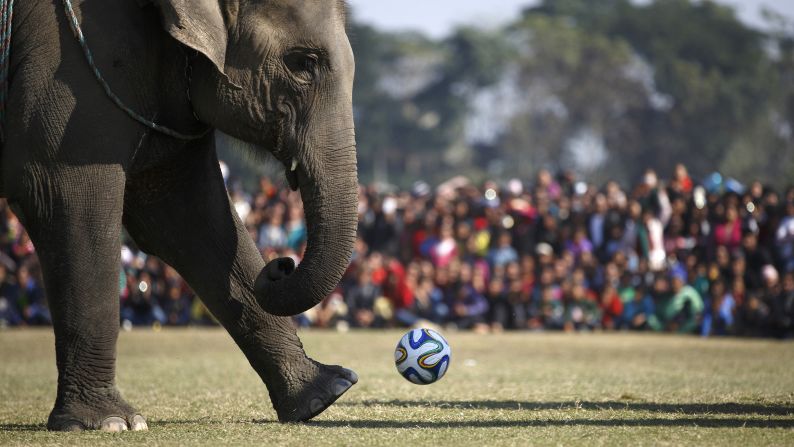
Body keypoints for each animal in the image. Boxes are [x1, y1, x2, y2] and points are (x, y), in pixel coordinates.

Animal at [2, 0, 358, 434]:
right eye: (302, 62)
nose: (282, 264)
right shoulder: (71, 72)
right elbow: (70, 198)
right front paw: (112, 423)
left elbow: (187, 218)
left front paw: (326, 393)